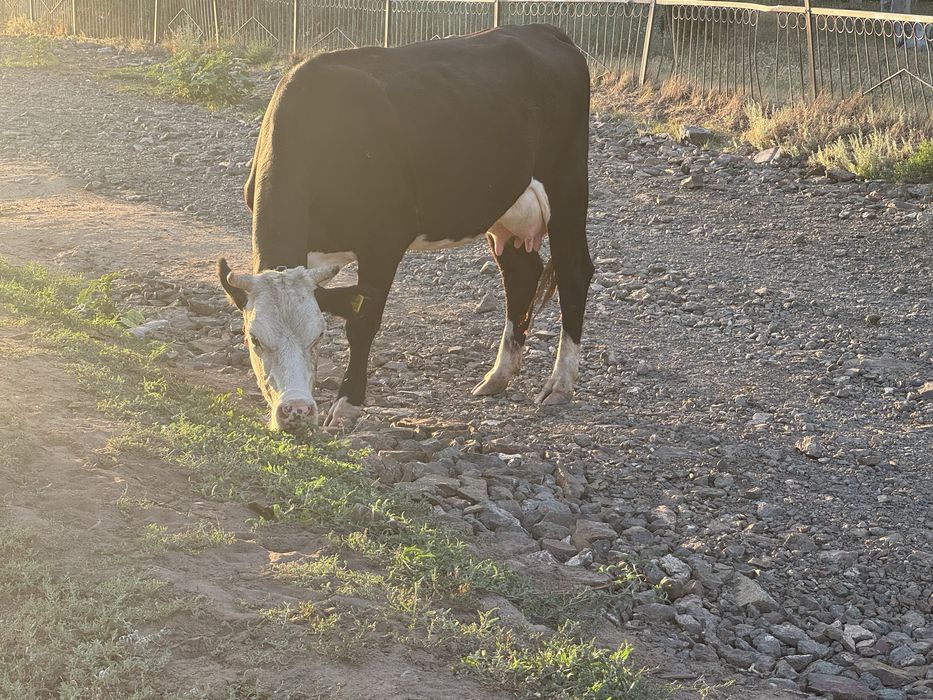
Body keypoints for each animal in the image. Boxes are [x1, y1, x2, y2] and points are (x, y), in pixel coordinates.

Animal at [218, 23, 593, 432]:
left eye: (318, 336)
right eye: (254, 339)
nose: (296, 411)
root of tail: (542, 31)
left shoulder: (383, 240)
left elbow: (362, 323)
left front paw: (348, 404)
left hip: (568, 186)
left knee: (574, 273)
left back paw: (560, 383)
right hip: (505, 206)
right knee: (522, 275)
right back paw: (498, 376)